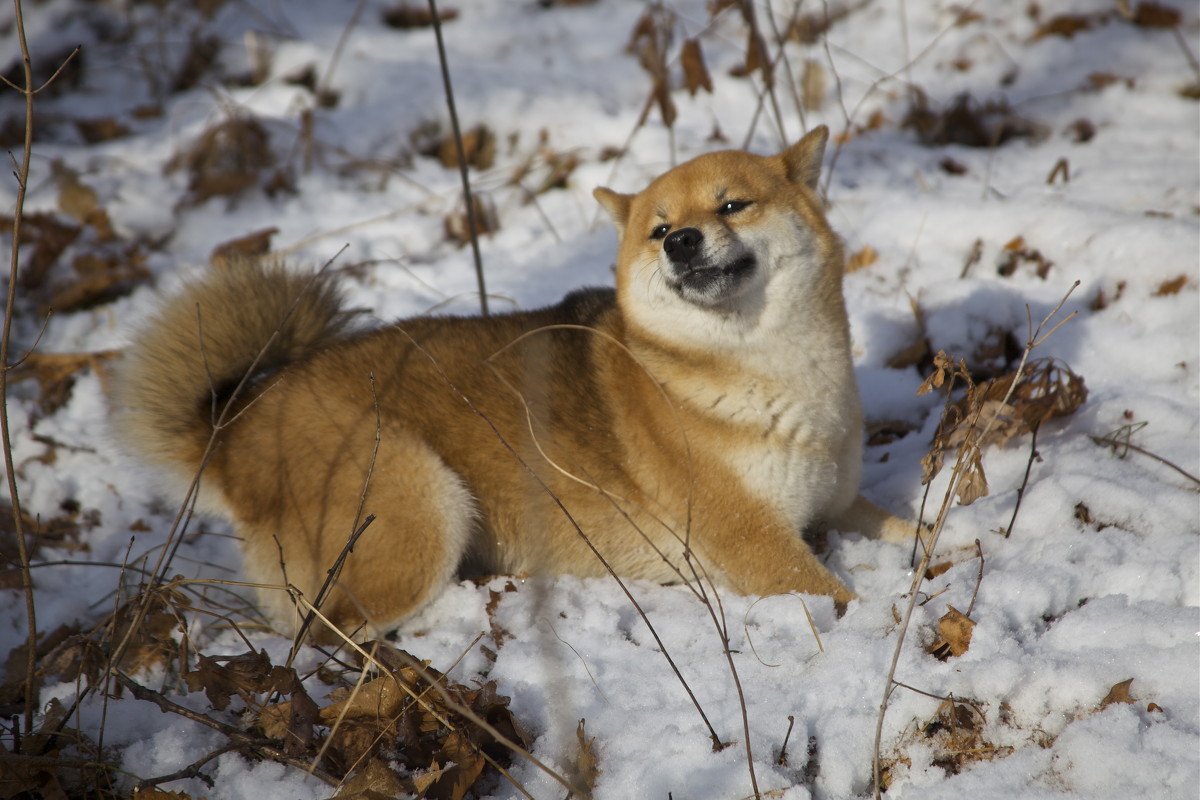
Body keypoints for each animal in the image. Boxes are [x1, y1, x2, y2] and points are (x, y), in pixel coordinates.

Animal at [114, 126, 916, 638]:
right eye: (659, 230)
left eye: (731, 204)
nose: (684, 243)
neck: (767, 371)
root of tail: (238, 426)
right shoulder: (757, 546)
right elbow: (842, 596)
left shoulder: (838, 505)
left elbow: (914, 532)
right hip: (420, 501)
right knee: (323, 636)